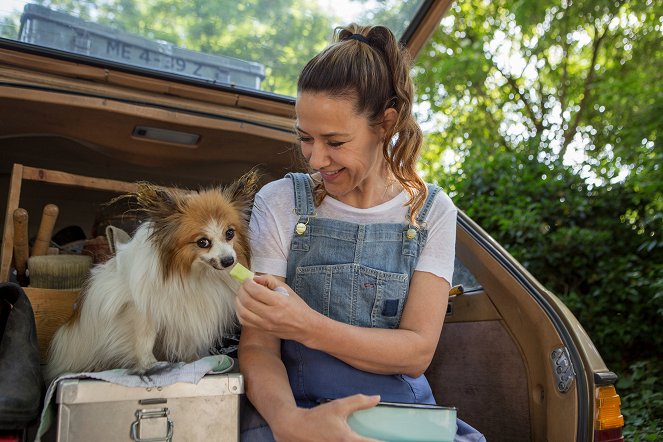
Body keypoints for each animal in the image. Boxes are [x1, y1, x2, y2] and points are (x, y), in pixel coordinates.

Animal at [45, 169, 260, 380]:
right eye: (203, 242)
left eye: (230, 233)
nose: (229, 261)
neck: (195, 274)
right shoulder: (140, 311)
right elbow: (144, 340)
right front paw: (149, 365)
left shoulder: (188, 314)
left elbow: (189, 343)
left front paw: (195, 361)